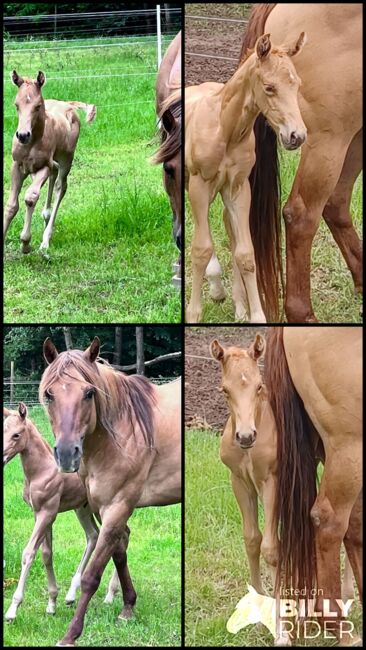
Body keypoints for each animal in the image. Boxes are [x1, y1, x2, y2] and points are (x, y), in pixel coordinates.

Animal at [3, 69, 96, 256]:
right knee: (54, 176)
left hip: (67, 158)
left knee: (61, 185)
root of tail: (68, 105)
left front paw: (25, 243)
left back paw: (45, 240)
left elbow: (30, 198)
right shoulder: (17, 166)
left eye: (38, 106)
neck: (32, 142)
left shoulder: (44, 166)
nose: (23, 135)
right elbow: (11, 206)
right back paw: (45, 218)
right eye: (16, 105)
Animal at [39, 336, 181, 644]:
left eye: (89, 393)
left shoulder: (118, 506)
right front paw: (128, 607)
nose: (66, 454)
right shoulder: (104, 508)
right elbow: (119, 553)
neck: (123, 432)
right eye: (49, 394)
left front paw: (71, 634)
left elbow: (92, 575)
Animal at [186, 33, 306, 322]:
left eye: (296, 84)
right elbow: (200, 249)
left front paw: (256, 315)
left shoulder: (239, 188)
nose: (297, 135)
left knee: (228, 229)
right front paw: (193, 313)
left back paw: (236, 303)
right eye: (269, 87)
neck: (224, 128)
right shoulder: (198, 185)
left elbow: (246, 253)